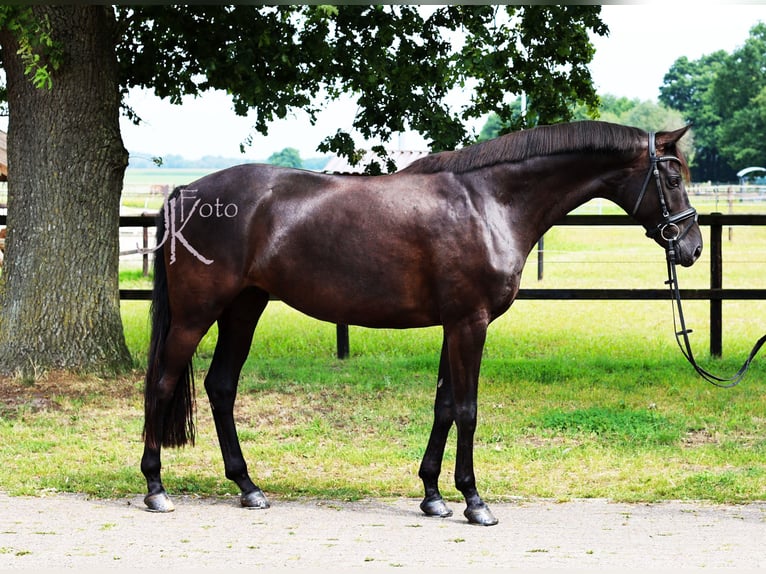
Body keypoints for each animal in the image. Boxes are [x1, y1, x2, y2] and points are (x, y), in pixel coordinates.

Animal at [141, 121, 704, 528]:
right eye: (673, 178)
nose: (692, 247)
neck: (488, 202)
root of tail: (186, 192)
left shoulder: (454, 324)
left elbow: (445, 406)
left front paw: (433, 495)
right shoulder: (470, 324)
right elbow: (469, 410)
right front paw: (475, 501)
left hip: (244, 307)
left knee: (221, 386)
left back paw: (248, 487)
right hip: (196, 314)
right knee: (163, 384)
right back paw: (156, 489)